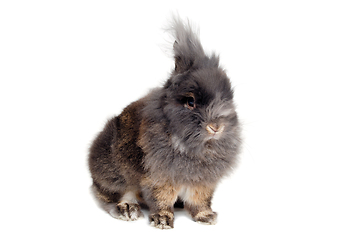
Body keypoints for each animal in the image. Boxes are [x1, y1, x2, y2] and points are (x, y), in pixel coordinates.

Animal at [88, 16, 242, 229]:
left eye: (228, 97)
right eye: (190, 102)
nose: (216, 127)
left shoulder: (203, 182)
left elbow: (200, 200)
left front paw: (206, 217)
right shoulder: (159, 177)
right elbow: (160, 198)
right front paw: (162, 221)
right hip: (112, 171)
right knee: (110, 196)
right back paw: (127, 209)